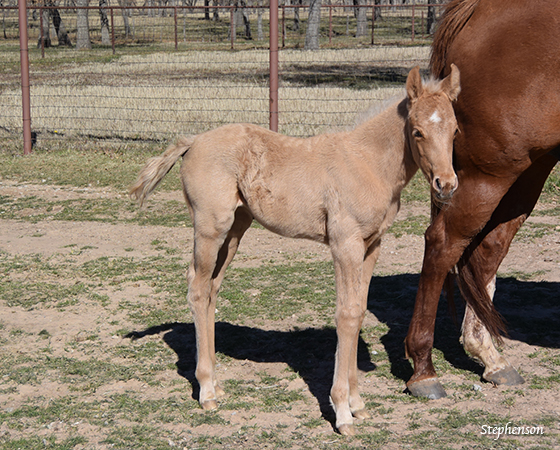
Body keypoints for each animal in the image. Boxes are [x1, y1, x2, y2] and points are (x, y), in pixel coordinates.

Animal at [131, 65, 460, 434]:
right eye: (417, 132)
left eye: (455, 130)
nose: (446, 185)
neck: (367, 163)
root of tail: (193, 142)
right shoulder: (344, 244)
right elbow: (346, 315)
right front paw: (342, 412)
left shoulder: (371, 245)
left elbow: (360, 310)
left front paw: (358, 404)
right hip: (210, 227)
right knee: (198, 288)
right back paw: (206, 391)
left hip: (235, 230)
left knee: (212, 288)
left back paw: (215, 382)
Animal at [404, 0, 560, 400]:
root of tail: (479, 9)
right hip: (491, 174)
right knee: (444, 244)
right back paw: (424, 368)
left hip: (528, 169)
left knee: (486, 249)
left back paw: (490, 357)